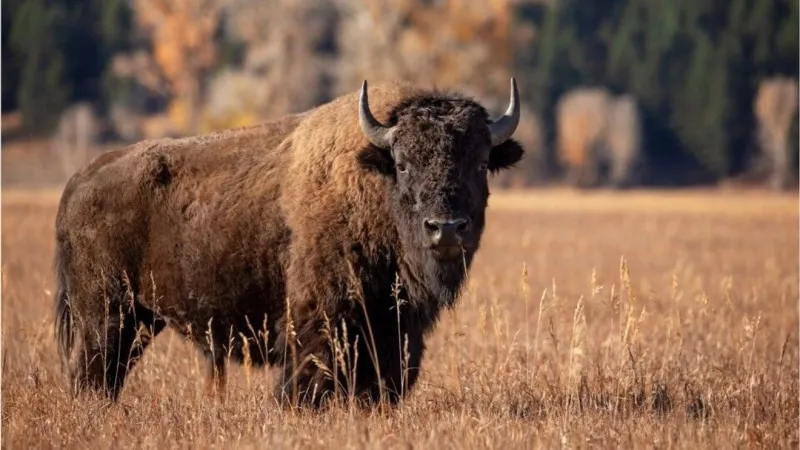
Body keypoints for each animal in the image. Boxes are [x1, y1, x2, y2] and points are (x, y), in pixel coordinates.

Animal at [54, 79, 524, 407]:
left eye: (481, 162)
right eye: (404, 164)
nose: (446, 228)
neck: (372, 182)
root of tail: (79, 179)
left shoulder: (394, 330)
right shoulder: (320, 321)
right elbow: (307, 380)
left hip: (139, 320)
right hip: (107, 316)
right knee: (94, 375)